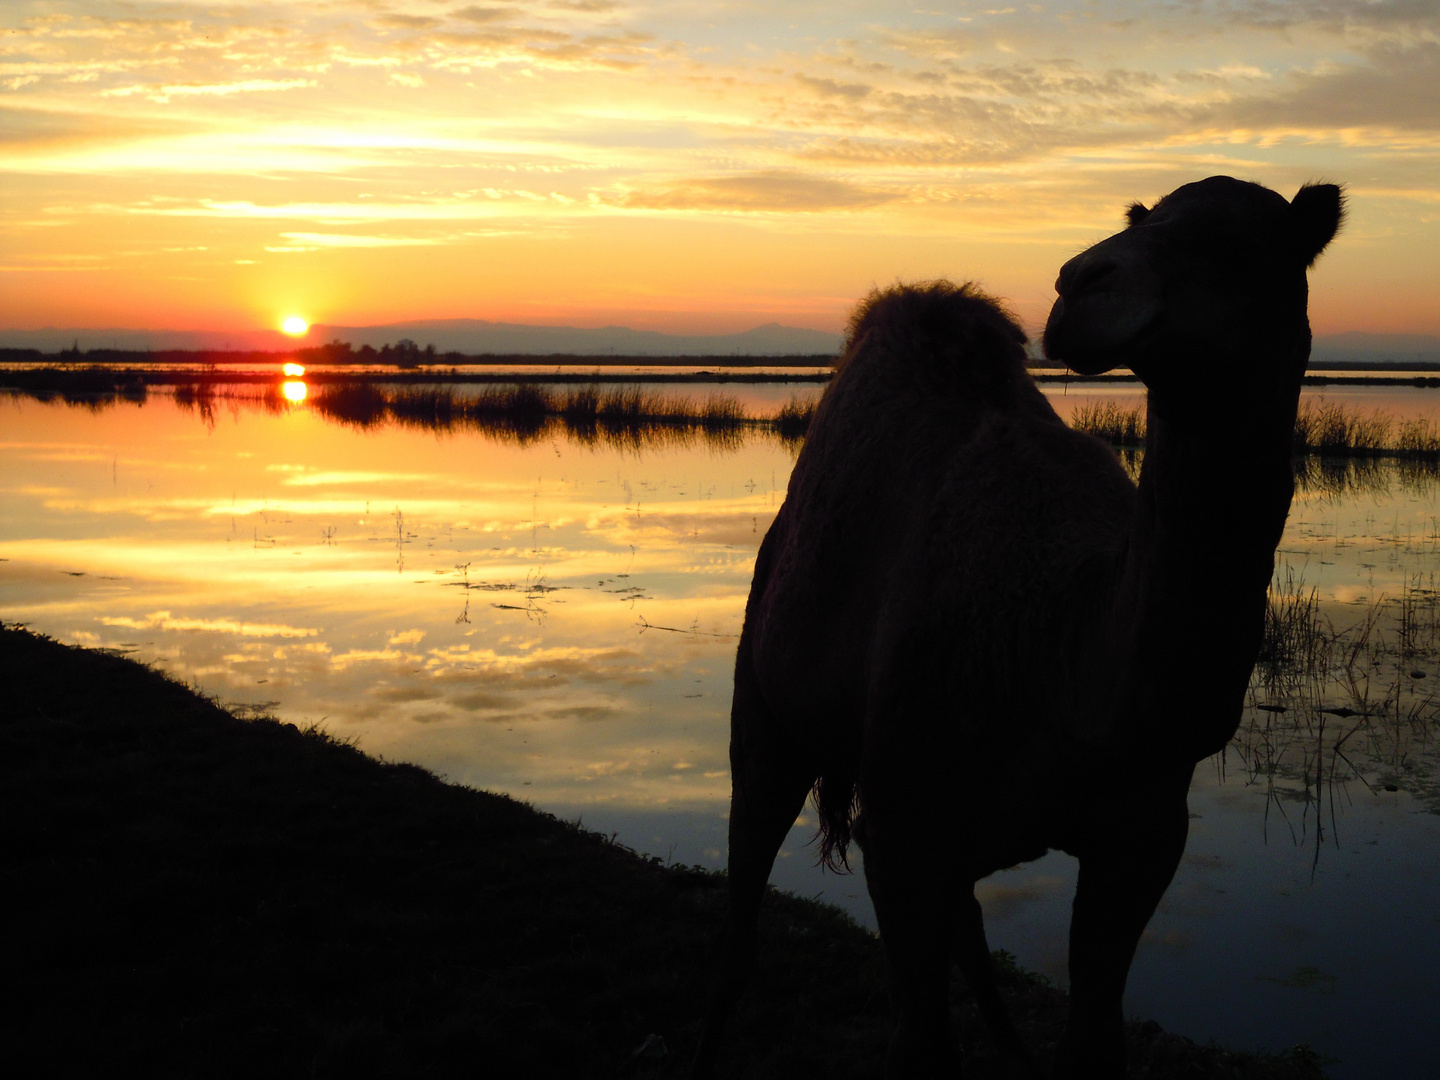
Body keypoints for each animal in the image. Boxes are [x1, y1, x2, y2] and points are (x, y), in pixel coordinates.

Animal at [691, 175, 1342, 1077]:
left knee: (965, 930)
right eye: (1144, 218)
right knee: (743, 909)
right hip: (766, 714)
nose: (1078, 281)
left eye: (1235, 245)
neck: (1063, 665)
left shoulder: (1143, 836)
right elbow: (922, 1043)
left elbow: (1091, 1037)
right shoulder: (903, 828)